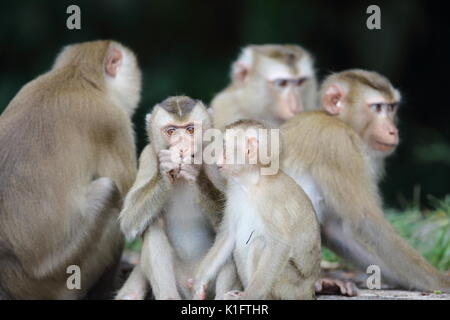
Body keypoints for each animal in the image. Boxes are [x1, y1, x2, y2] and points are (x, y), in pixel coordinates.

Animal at [115, 95, 239, 300]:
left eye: (190, 129)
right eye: (171, 131)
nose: (181, 144)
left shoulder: (218, 154)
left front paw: (195, 172)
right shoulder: (148, 157)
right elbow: (128, 221)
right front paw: (166, 172)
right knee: (152, 225)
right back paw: (169, 296)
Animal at [192, 120, 322, 300]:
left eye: (225, 148)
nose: (217, 158)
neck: (252, 183)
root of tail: (310, 290)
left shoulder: (271, 200)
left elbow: (280, 244)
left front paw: (248, 296)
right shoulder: (233, 190)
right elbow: (228, 235)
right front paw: (199, 283)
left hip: (293, 288)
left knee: (259, 244)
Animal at [282, 69, 450, 292]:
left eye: (391, 107)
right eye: (377, 107)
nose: (392, 130)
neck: (337, 120)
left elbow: (338, 230)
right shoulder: (338, 143)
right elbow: (365, 221)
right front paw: (442, 282)